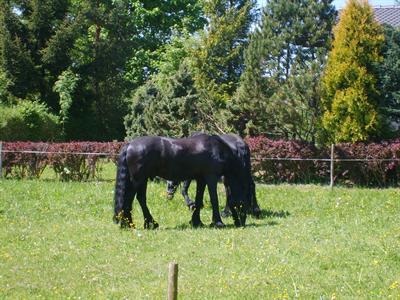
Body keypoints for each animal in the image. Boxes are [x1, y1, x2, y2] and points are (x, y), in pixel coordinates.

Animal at [113, 135, 250, 229]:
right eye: (242, 203)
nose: (241, 223)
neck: (216, 149)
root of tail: (130, 144)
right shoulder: (211, 177)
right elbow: (214, 199)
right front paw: (218, 222)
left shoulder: (201, 179)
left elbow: (199, 199)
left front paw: (196, 221)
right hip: (138, 180)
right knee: (129, 199)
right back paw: (128, 224)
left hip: (142, 179)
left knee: (140, 199)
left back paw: (150, 223)